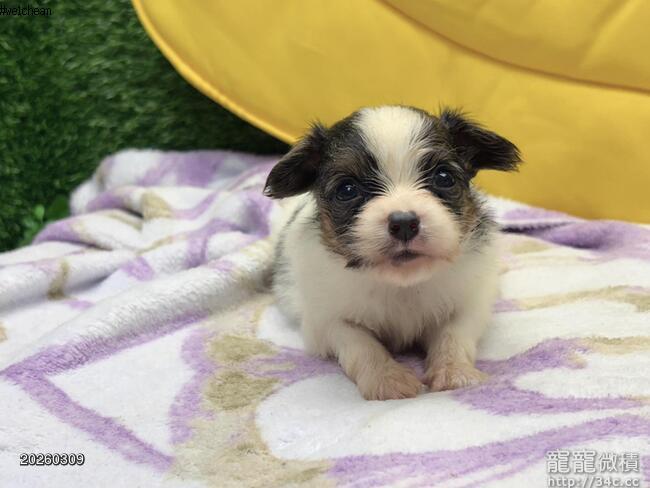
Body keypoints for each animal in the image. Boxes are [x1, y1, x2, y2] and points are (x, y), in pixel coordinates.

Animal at [264, 105, 520, 400]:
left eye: (443, 177)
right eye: (347, 190)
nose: (404, 223)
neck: (402, 283)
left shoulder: (469, 303)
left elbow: (453, 335)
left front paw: (455, 373)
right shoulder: (326, 320)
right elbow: (360, 344)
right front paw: (386, 379)